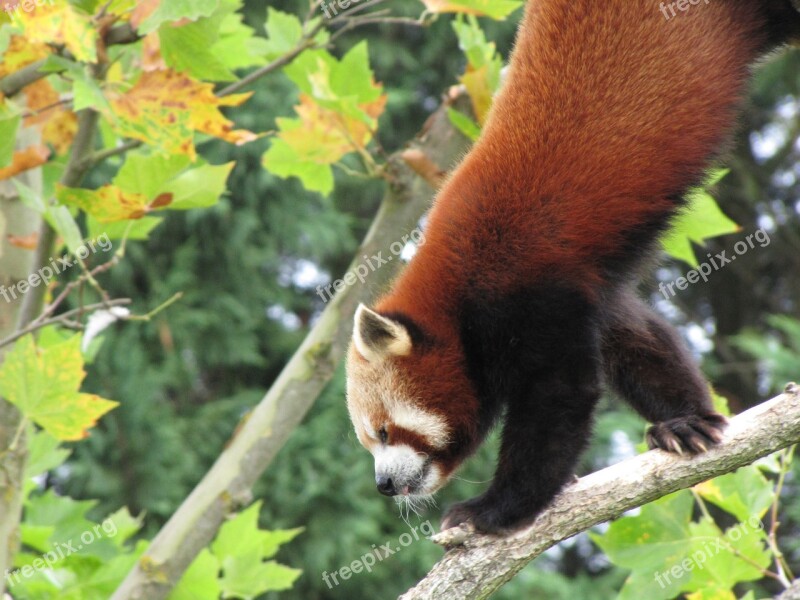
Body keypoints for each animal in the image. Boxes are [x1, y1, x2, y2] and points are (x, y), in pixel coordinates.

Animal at [344, 0, 800, 536]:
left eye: (383, 430)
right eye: (369, 440)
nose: (383, 485)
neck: (456, 297)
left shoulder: (525, 286)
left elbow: (560, 398)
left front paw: (494, 509)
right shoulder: (584, 286)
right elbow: (639, 339)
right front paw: (686, 420)